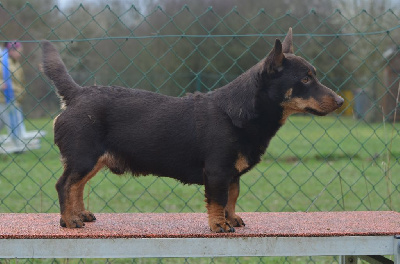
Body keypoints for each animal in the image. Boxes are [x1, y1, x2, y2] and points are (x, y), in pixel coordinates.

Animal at [42, 27, 346, 232]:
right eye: (305, 79)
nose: (342, 101)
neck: (237, 112)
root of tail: (76, 95)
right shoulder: (217, 171)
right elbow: (218, 200)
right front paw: (219, 225)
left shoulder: (231, 174)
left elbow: (232, 198)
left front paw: (231, 219)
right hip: (84, 158)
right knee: (64, 185)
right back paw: (68, 220)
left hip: (91, 161)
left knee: (77, 186)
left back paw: (80, 214)